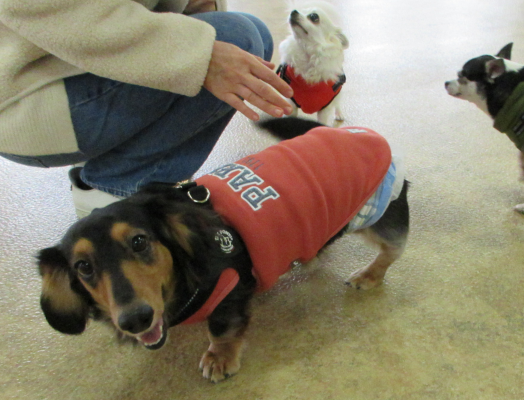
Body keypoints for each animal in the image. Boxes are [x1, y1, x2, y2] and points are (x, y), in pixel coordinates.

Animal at [36, 117, 409, 383]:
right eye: (83, 267)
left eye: (139, 241)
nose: (134, 319)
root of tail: (357, 133)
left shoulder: (232, 285)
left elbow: (222, 327)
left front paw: (220, 357)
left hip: (378, 213)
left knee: (394, 249)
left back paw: (369, 274)